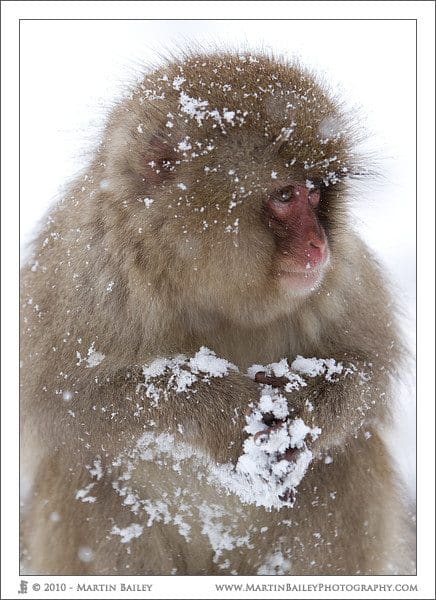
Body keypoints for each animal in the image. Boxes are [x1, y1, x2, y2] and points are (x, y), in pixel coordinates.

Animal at [21, 52, 416, 576]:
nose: (319, 246)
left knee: (346, 458)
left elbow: (368, 367)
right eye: (285, 195)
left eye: (314, 194)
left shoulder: (342, 274)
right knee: (87, 470)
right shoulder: (87, 272)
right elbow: (66, 402)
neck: (208, 291)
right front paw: (223, 410)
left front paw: (305, 403)